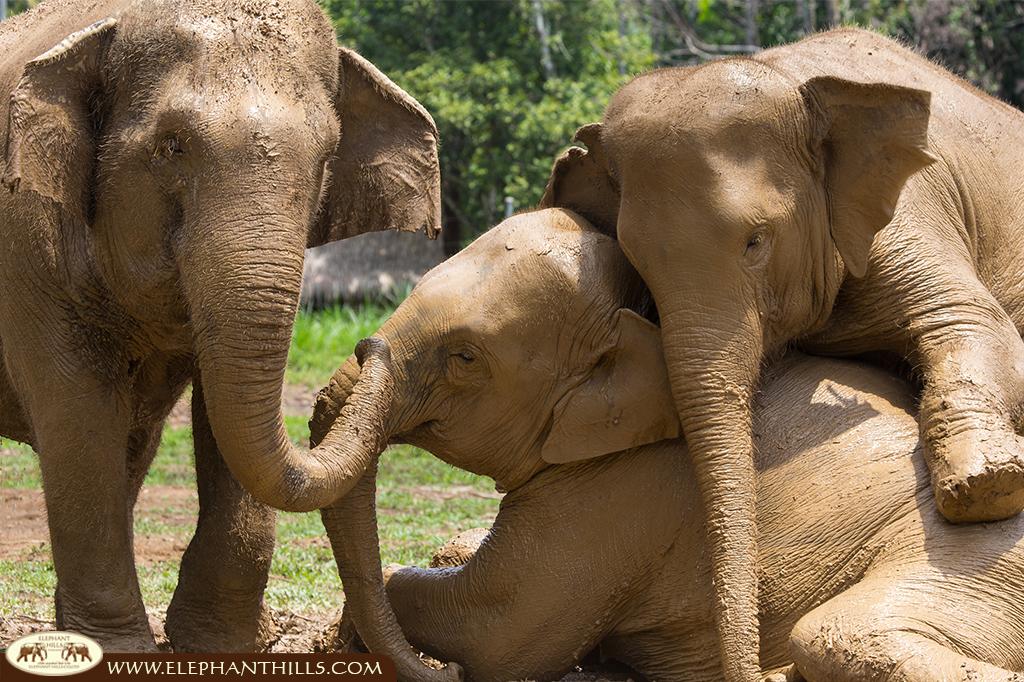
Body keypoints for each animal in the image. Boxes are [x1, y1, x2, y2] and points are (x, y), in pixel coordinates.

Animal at [0, 0, 454, 675]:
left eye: (327, 156)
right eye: (171, 146)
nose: (370, 346)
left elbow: (222, 412)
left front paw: (221, 644)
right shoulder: (26, 246)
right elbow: (78, 411)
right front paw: (115, 651)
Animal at [313, 205, 1024, 679]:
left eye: (464, 357)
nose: (368, 343)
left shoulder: (628, 490)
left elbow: (501, 633)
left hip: (967, 561)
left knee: (841, 635)